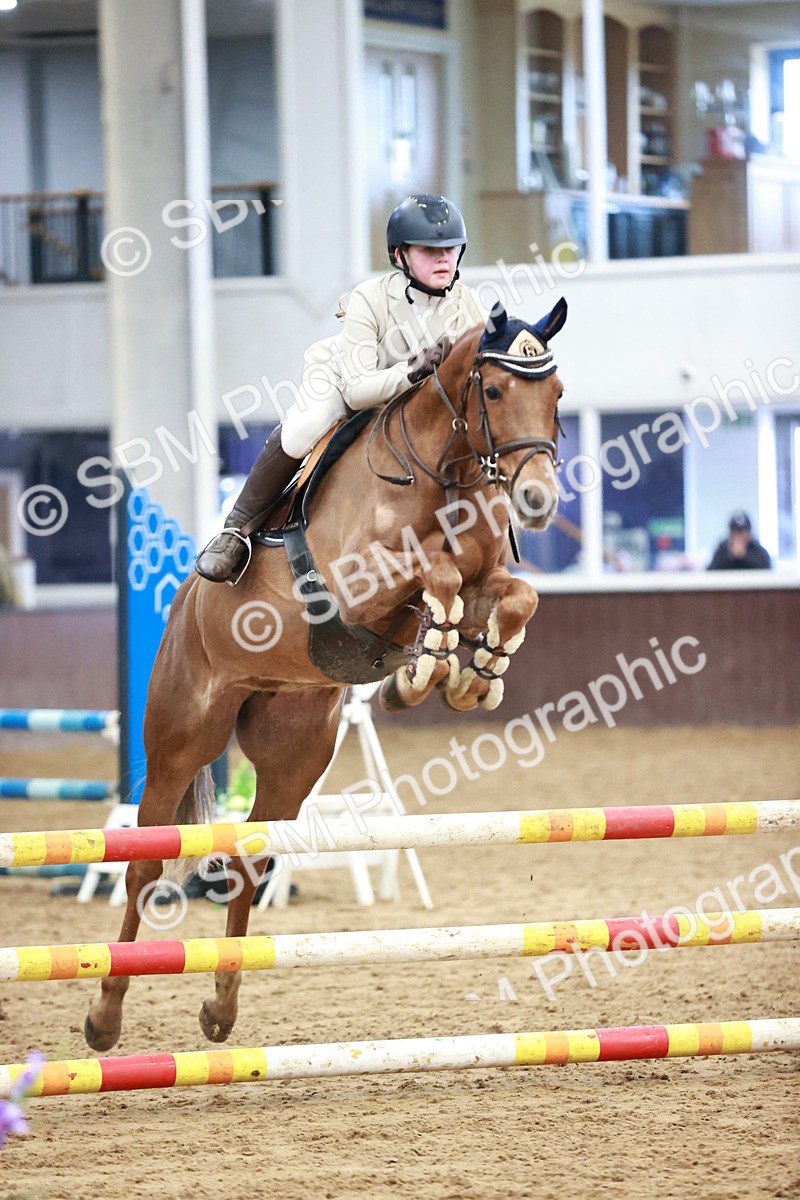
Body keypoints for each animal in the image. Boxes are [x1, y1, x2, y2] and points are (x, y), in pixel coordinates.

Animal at [84, 298, 567, 1052]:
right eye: (492, 391)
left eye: (557, 395)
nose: (540, 499)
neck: (444, 474)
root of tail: (183, 607)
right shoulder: (364, 582)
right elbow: (436, 573)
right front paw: (426, 666)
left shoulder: (486, 577)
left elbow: (514, 596)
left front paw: (471, 672)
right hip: (181, 740)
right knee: (144, 866)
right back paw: (105, 1018)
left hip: (295, 750)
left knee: (248, 862)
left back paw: (221, 1008)